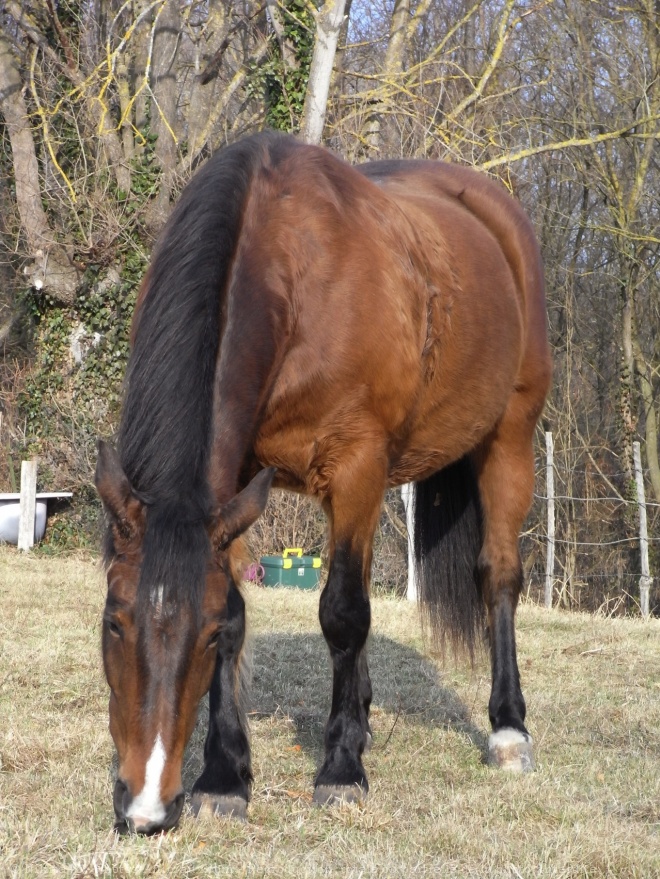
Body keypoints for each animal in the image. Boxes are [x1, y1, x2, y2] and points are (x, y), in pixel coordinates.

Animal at [95, 129, 552, 832]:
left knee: (497, 576)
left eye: (199, 635)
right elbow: (247, 607)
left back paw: (507, 732)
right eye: (113, 623)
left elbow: (341, 613)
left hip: (510, 438)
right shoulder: (240, 484)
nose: (145, 808)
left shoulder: (357, 463)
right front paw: (225, 776)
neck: (296, 275)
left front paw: (340, 769)